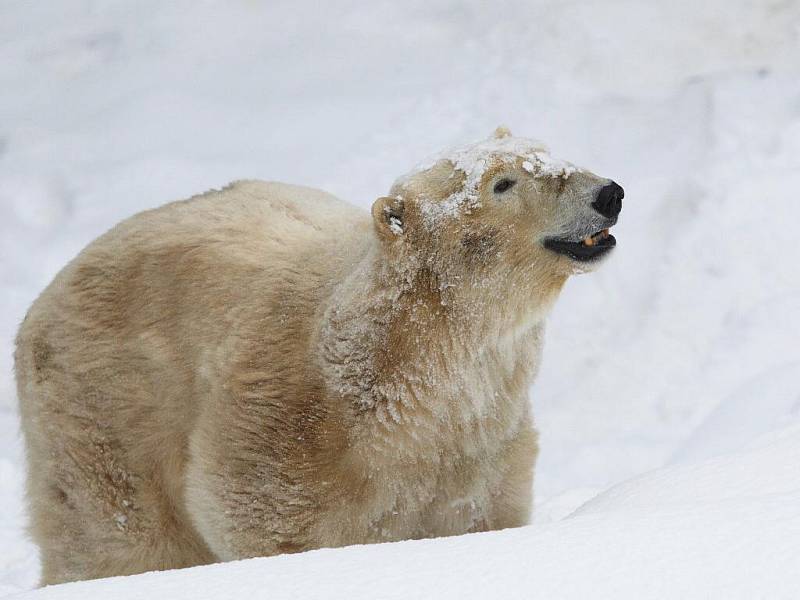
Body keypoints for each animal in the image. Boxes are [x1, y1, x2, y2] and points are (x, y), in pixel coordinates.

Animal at [15, 129, 620, 584]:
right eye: (503, 182)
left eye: (549, 152)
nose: (608, 194)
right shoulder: (284, 428)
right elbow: (257, 517)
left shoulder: (480, 448)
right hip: (104, 408)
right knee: (117, 537)